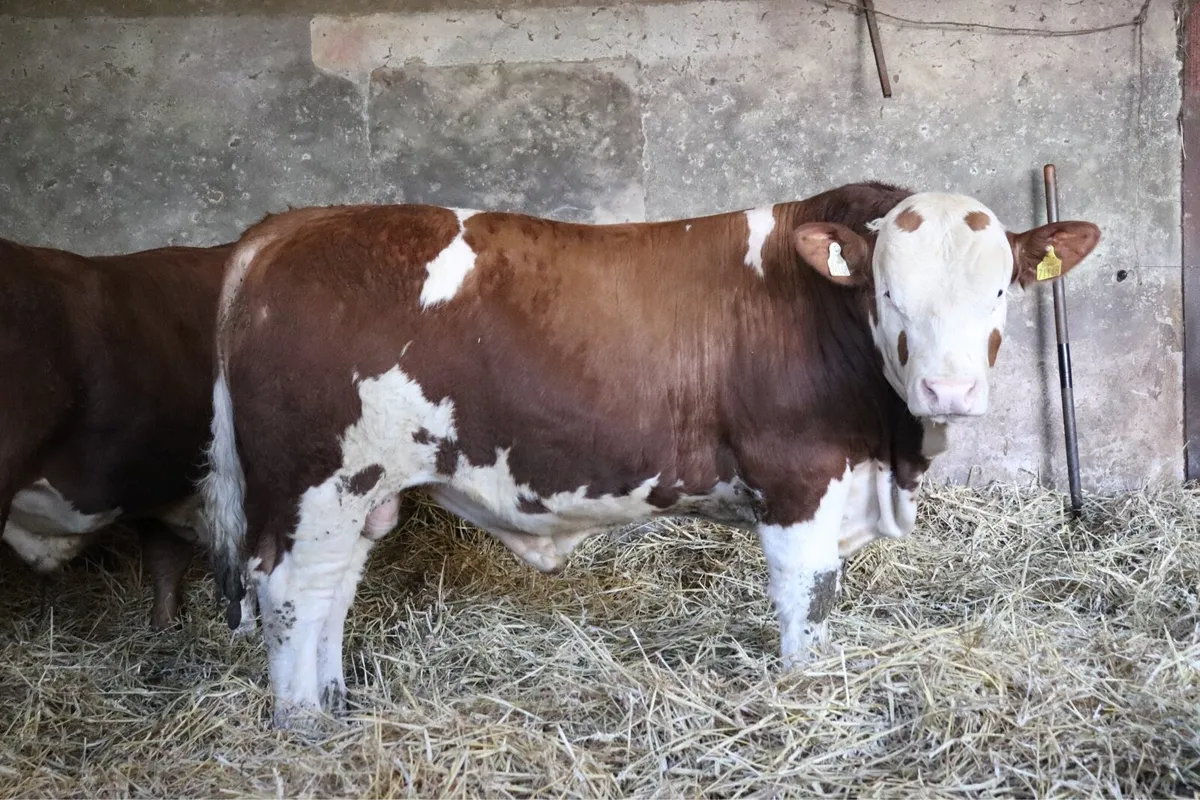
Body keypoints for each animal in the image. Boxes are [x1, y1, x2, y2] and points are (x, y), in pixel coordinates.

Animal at [201, 181, 1100, 727]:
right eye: (888, 292)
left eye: (999, 289)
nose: (949, 390)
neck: (889, 450)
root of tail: (288, 227)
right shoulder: (797, 481)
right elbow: (806, 607)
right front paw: (805, 695)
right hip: (313, 480)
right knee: (291, 595)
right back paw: (304, 728)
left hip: (358, 491)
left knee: (330, 595)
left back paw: (333, 708)